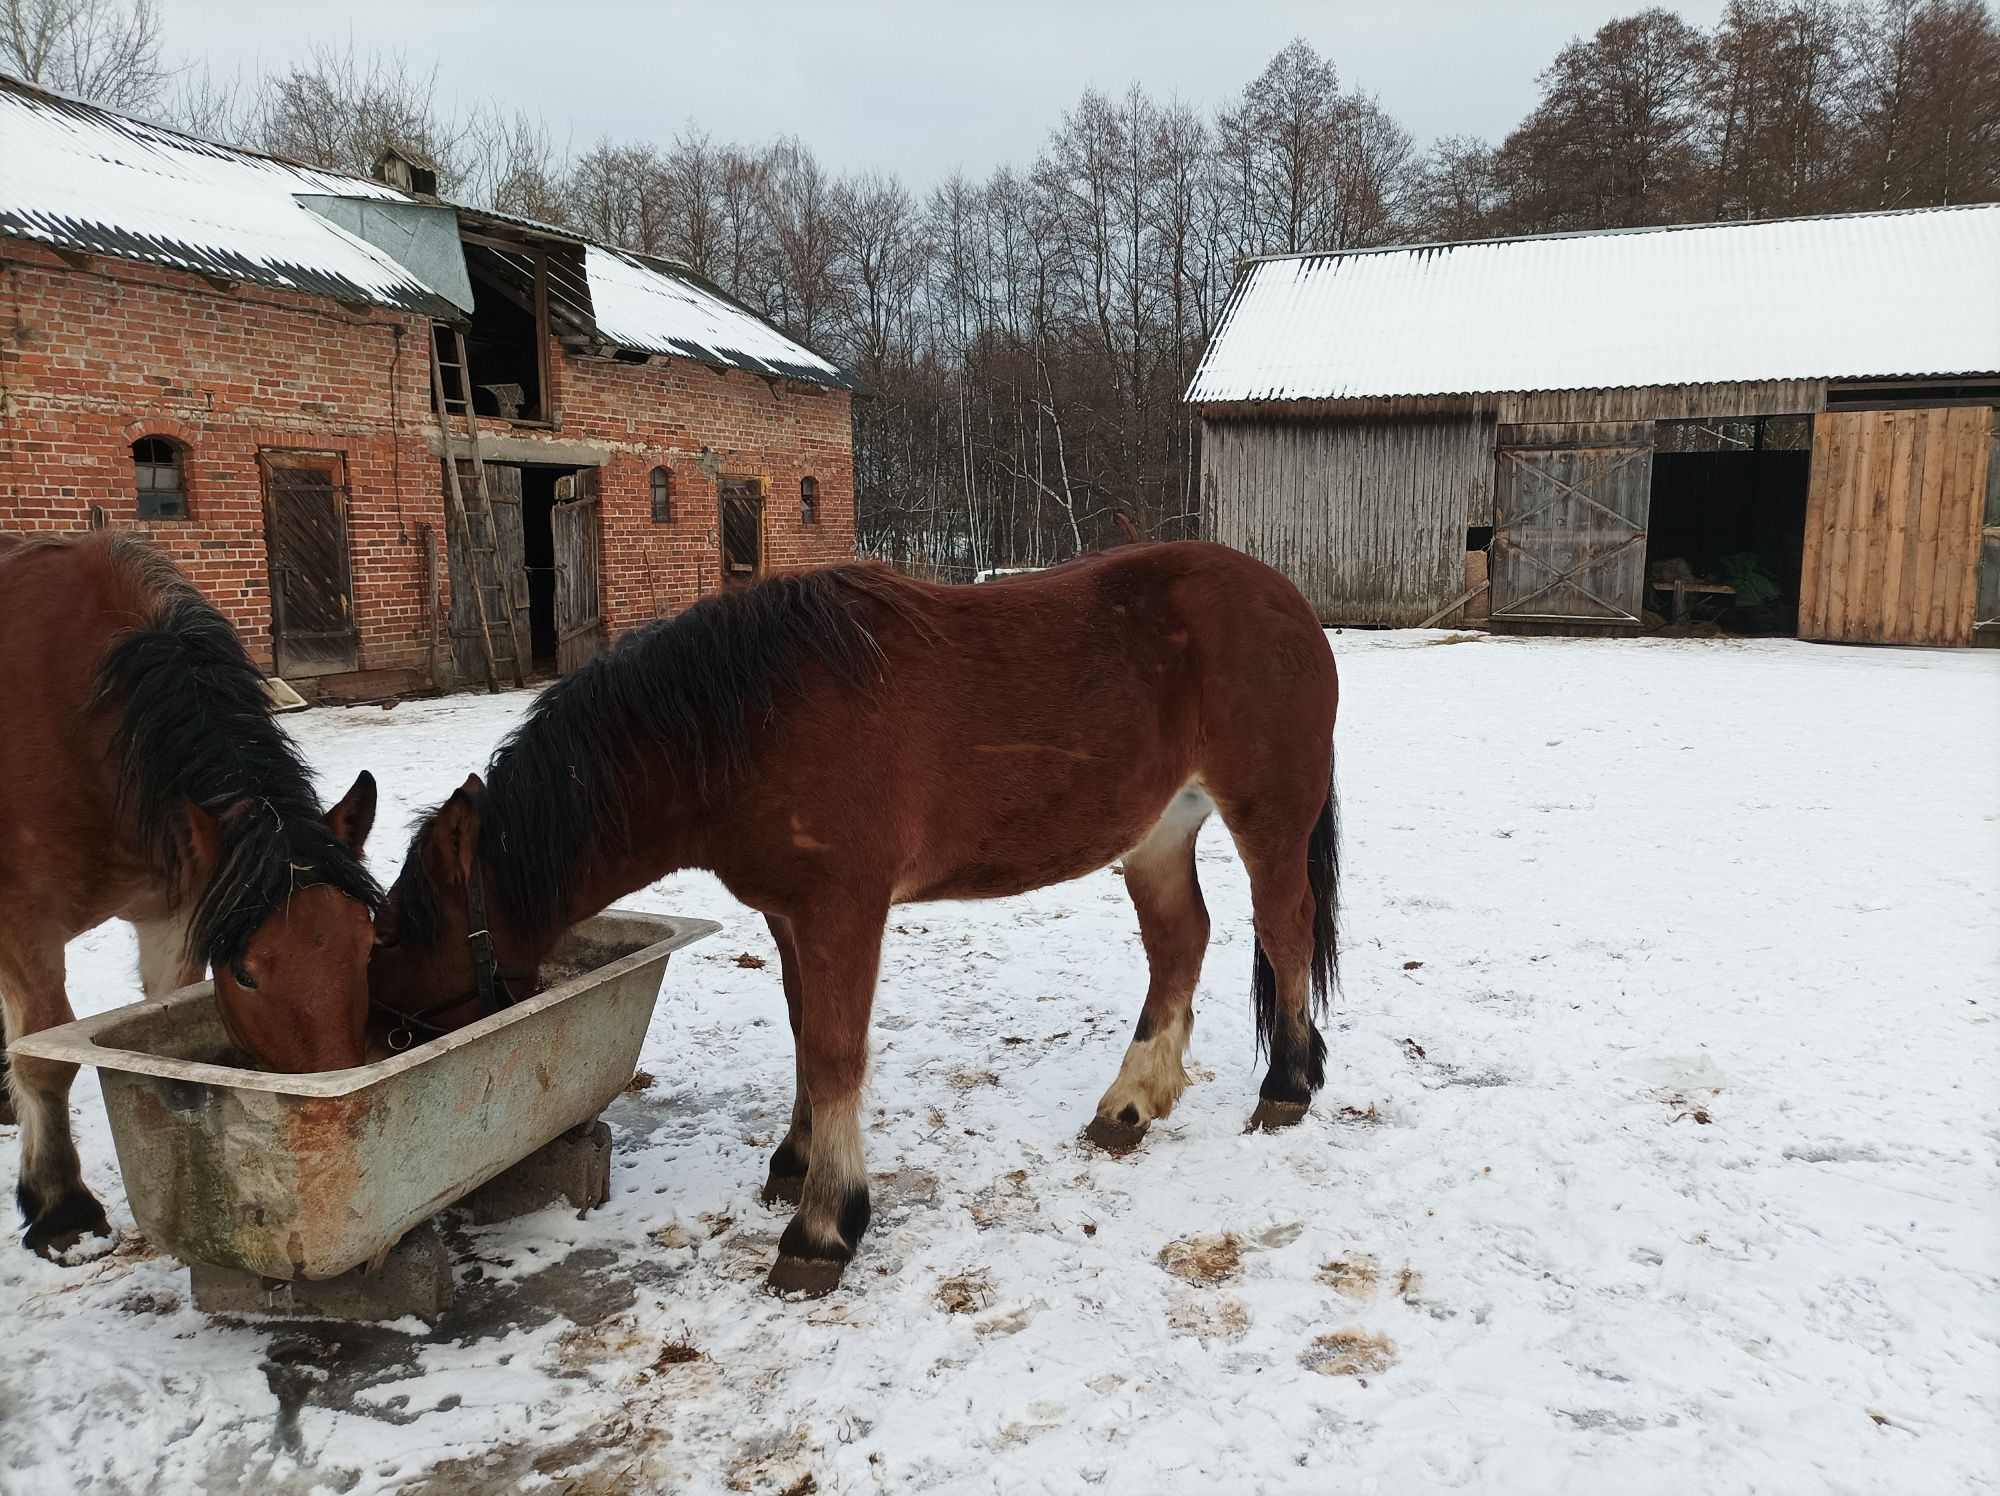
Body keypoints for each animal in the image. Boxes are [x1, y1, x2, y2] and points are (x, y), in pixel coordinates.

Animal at [0, 532, 380, 1256]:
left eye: (369, 948)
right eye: (245, 973)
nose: (338, 1112)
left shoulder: (170, 917)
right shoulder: (22, 926)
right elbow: (43, 1062)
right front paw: (61, 1208)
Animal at [372, 540, 1344, 1296]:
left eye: (402, 939)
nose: (387, 1041)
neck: (747, 726)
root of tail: (1287, 600)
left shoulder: (842, 909)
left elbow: (836, 1055)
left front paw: (823, 1227)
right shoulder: (788, 918)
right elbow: (805, 1036)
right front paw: (793, 1165)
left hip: (1267, 818)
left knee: (1285, 931)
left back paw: (1286, 1087)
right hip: (1158, 831)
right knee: (1182, 941)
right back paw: (1131, 1104)